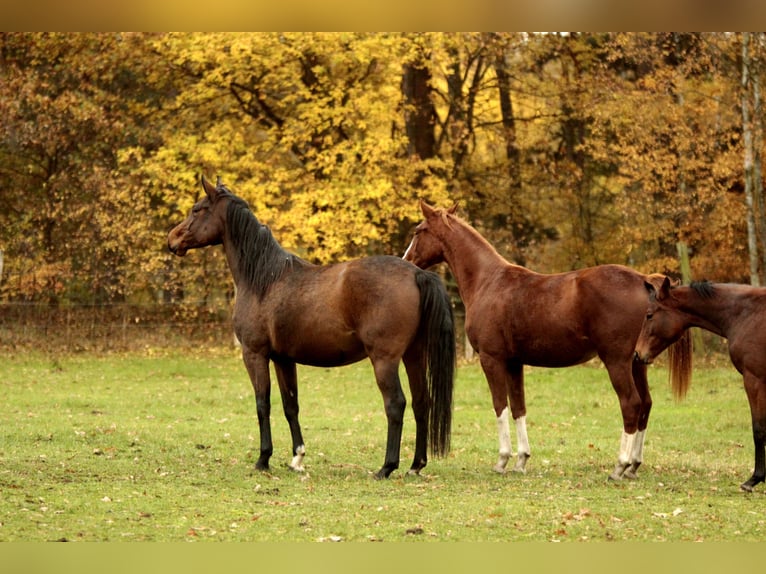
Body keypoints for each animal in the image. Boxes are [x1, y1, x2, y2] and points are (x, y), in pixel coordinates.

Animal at [168, 177, 456, 482]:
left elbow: (262, 404)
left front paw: (263, 459)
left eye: (197, 209)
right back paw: (416, 464)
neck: (264, 279)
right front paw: (297, 458)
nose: (172, 239)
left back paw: (386, 467)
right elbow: (290, 406)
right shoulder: (283, 359)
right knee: (421, 402)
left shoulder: (254, 354)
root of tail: (417, 273)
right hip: (414, 355)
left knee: (396, 404)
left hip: (385, 360)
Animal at [402, 201, 688, 482]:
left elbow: (499, 405)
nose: (407, 261)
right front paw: (521, 460)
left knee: (631, 404)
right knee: (646, 404)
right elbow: (518, 407)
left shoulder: (491, 359)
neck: (488, 281)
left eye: (419, 230)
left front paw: (502, 460)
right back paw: (633, 466)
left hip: (617, 362)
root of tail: (642, 280)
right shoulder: (514, 363)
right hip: (638, 363)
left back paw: (620, 466)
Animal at [636, 276, 766, 492]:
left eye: (649, 315)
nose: (638, 354)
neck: (746, 314)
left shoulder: (754, 380)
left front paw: (754, 479)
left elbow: (758, 429)